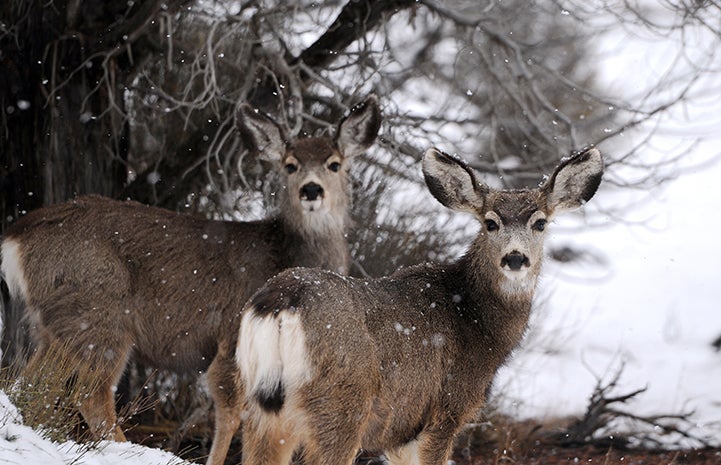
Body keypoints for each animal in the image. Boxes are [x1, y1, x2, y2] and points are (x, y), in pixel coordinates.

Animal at [0, 95, 382, 464]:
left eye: (334, 163)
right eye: (290, 165)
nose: (311, 190)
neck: (284, 254)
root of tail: (15, 238)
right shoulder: (231, 335)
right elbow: (231, 411)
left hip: (53, 324)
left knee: (28, 383)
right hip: (97, 314)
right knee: (90, 394)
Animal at [236, 145, 600, 464]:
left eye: (540, 223)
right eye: (490, 222)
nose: (514, 257)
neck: (475, 322)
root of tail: (282, 302)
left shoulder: (402, 432)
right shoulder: (444, 411)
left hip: (261, 408)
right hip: (340, 404)